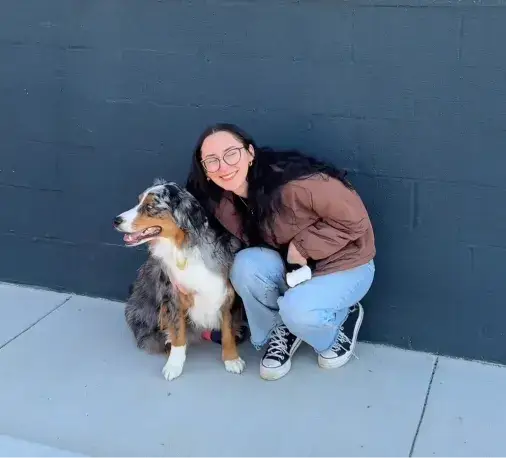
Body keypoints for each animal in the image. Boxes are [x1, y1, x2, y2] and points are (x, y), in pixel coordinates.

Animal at [113, 178, 245, 381]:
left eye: (149, 206)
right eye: (138, 202)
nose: (116, 220)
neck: (183, 248)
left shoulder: (227, 295)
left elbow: (228, 331)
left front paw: (232, 359)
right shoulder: (173, 296)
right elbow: (178, 333)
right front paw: (174, 365)